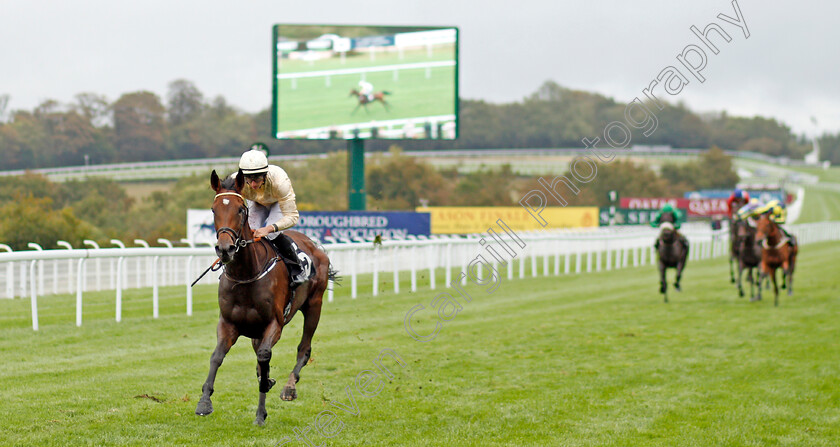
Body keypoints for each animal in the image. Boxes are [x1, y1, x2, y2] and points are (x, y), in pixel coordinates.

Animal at [194, 170, 332, 426]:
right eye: (213, 209)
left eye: (241, 209)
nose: (225, 249)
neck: (247, 274)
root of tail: (315, 246)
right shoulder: (228, 323)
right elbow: (217, 357)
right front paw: (204, 402)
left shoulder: (274, 323)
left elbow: (265, 356)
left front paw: (260, 413)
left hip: (314, 306)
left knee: (304, 348)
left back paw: (289, 387)